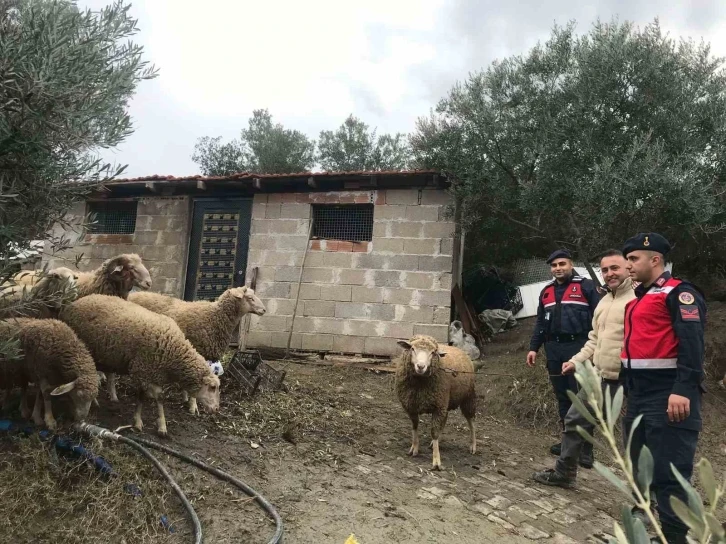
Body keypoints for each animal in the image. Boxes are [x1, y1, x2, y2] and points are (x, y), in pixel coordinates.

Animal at [59, 296, 222, 436]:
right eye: (212, 387)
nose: (216, 409)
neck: (174, 351)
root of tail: (76, 302)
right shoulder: (142, 370)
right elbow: (145, 397)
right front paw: (139, 422)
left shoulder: (153, 374)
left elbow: (156, 397)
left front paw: (161, 426)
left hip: (109, 354)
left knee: (109, 373)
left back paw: (112, 396)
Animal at [396, 334, 480, 470]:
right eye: (412, 349)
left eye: (433, 352)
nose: (420, 366)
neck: (420, 384)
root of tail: (461, 350)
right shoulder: (411, 406)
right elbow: (415, 426)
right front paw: (414, 448)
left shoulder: (438, 406)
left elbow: (434, 432)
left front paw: (436, 461)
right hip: (446, 401)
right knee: (444, 420)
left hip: (467, 397)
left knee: (471, 421)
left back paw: (473, 445)